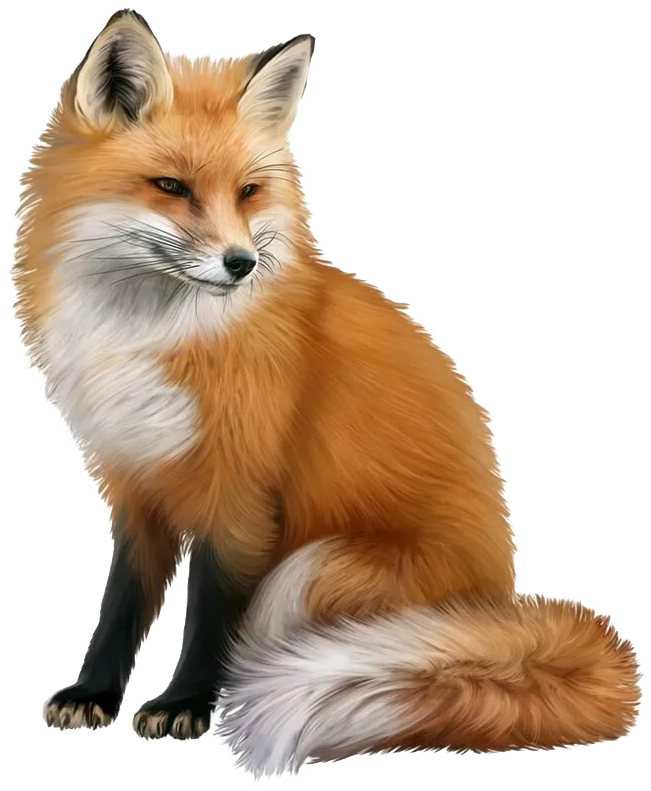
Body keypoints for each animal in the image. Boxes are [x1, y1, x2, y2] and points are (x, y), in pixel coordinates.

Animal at [10, 7, 642, 780]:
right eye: (171, 186)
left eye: (248, 192)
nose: (242, 264)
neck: (154, 334)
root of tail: (497, 598)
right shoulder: (135, 481)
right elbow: (119, 604)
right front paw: (94, 693)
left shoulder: (241, 493)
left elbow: (207, 613)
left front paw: (185, 703)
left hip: (309, 568)